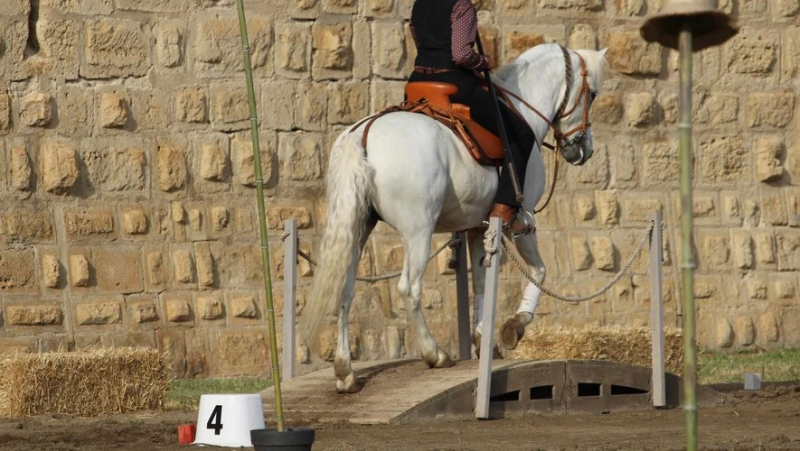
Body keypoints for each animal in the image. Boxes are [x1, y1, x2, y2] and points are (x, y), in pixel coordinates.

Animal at [304, 44, 608, 394]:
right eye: (592, 94)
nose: (583, 150)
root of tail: (363, 135)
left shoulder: (477, 227)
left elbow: (480, 283)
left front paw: (484, 340)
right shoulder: (521, 223)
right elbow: (539, 272)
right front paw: (513, 328)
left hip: (358, 229)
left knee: (345, 290)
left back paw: (345, 372)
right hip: (418, 231)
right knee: (409, 288)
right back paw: (434, 354)